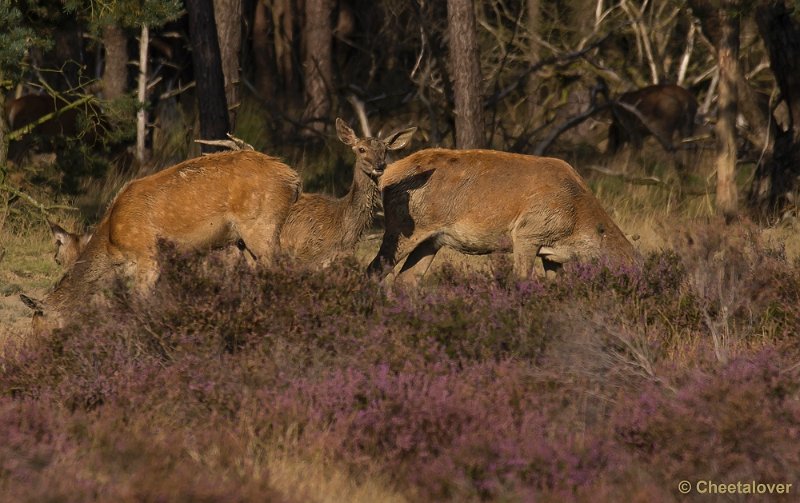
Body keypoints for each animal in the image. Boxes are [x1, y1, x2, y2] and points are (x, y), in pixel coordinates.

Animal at [26, 150, 300, 330]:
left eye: (38, 328)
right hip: (243, 241)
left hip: (262, 224)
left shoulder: (147, 254)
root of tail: (293, 179)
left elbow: (140, 303)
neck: (112, 245)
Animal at [368, 148, 636, 286]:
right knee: (374, 269)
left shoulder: (552, 254)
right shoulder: (527, 233)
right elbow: (521, 279)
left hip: (431, 241)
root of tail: (386, 176)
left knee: (406, 280)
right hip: (402, 227)